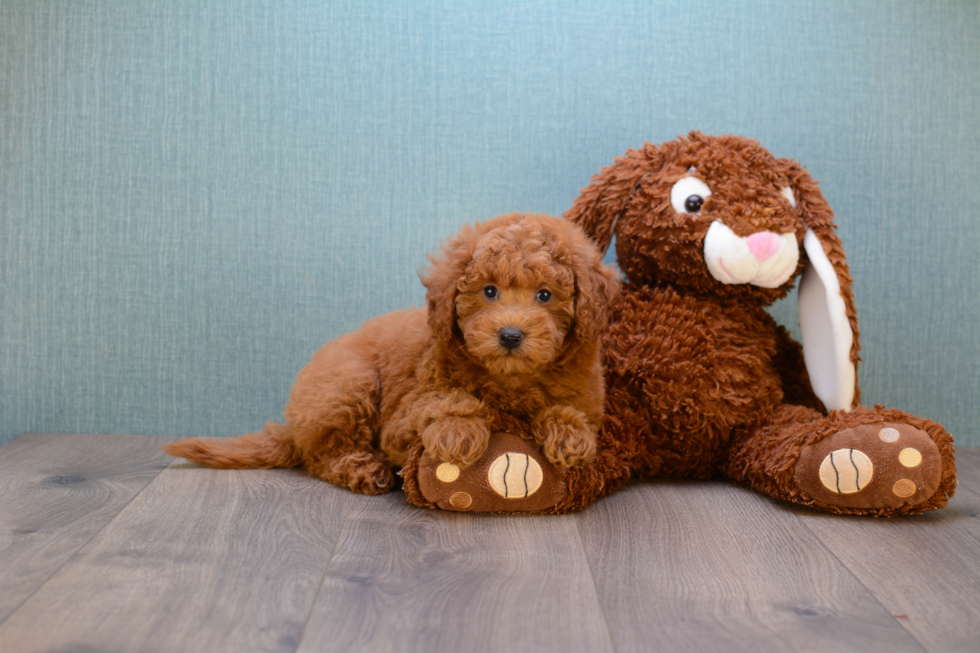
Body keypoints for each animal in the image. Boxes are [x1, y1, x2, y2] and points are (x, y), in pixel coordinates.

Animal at [161, 214, 620, 494]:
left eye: (545, 295)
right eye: (489, 291)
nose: (510, 335)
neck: (510, 380)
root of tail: (292, 426)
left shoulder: (587, 393)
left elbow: (570, 410)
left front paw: (568, 433)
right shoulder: (400, 423)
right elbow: (446, 398)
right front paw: (458, 430)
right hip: (350, 383)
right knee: (319, 454)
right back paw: (362, 467)